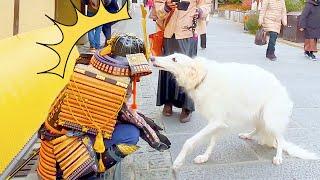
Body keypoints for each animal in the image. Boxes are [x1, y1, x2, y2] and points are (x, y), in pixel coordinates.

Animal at [152, 53, 318, 170]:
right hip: (257, 115)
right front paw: (204, 157)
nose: (152, 57)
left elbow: (189, 142)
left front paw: (178, 162)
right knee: (259, 129)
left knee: (281, 139)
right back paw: (247, 135)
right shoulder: (218, 122)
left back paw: (278, 157)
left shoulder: (216, 120)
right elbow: (212, 142)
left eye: (174, 59)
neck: (202, 77)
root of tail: (281, 88)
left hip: (270, 118)